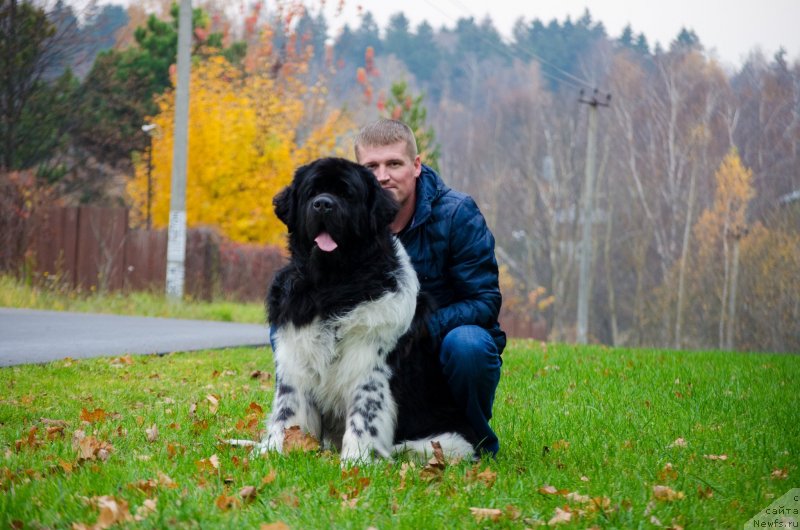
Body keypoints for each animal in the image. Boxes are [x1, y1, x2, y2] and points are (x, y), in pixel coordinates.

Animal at [255, 157, 476, 462]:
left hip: (443, 441)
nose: (323, 204)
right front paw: (274, 450)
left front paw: (356, 460)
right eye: (313, 192)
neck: (332, 284)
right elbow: (288, 410)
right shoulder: (296, 355)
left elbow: (364, 414)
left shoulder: (369, 364)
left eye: (347, 194)